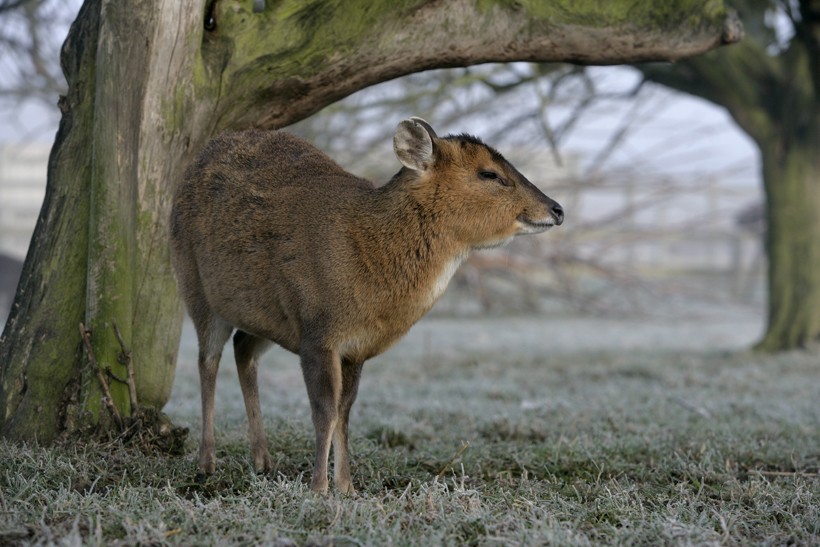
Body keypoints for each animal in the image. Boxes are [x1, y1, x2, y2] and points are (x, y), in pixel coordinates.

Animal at [169, 117, 560, 494]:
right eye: (489, 173)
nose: (557, 209)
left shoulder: (355, 348)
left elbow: (345, 412)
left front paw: (347, 487)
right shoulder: (318, 332)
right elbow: (324, 410)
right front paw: (318, 488)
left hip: (266, 314)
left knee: (243, 348)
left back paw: (262, 460)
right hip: (194, 284)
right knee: (207, 360)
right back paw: (206, 463)